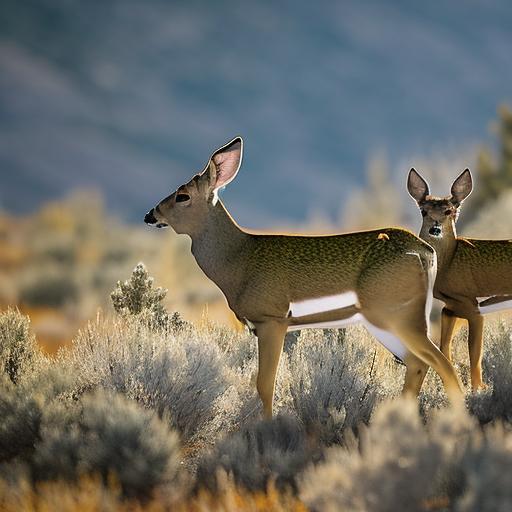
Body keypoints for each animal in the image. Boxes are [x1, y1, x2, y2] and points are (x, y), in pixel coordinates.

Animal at [145, 137, 464, 416]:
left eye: (182, 195)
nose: (151, 215)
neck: (239, 258)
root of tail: (424, 250)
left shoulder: (272, 321)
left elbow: (265, 385)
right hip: (385, 322)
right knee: (417, 364)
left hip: (399, 318)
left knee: (443, 364)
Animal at [408, 168, 512, 388]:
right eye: (424, 211)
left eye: (449, 211)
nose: (435, 229)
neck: (448, 266)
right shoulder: (451, 307)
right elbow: (444, 349)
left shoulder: (473, 306)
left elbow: (475, 353)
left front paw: (478, 388)